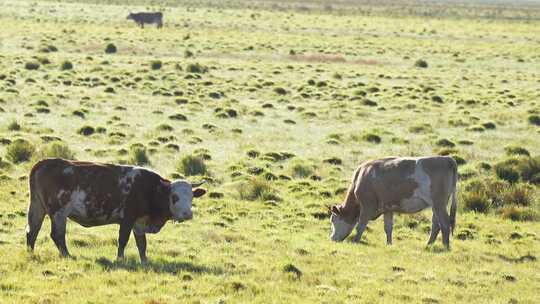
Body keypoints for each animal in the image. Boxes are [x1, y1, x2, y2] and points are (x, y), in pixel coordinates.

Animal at [24, 159, 207, 264]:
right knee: (57, 235)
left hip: (37, 207)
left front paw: (144, 261)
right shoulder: (127, 219)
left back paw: (31, 254)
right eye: (174, 197)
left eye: (191, 196)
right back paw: (67, 255)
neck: (150, 189)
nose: (187, 214)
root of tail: (43, 163)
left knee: (32, 231)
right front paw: (120, 259)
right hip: (59, 213)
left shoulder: (139, 222)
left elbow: (142, 244)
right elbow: (123, 240)